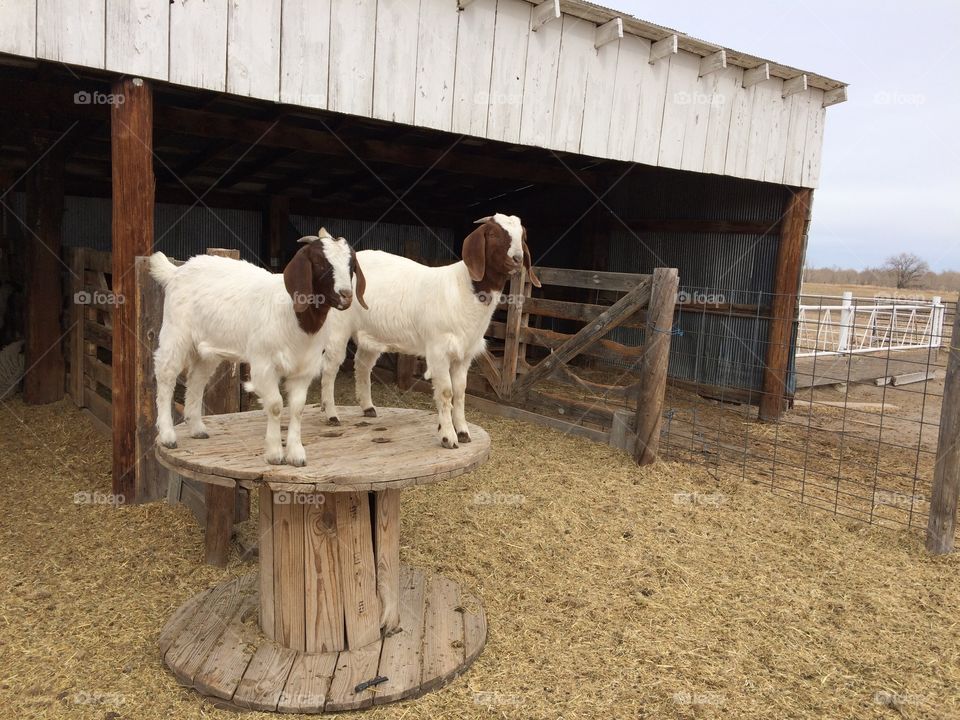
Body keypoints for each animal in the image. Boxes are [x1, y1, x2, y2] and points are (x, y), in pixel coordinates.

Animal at [150, 231, 366, 466]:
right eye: (319, 262)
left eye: (351, 265)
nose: (346, 295)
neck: (294, 316)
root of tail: (176, 271)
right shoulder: (263, 364)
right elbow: (275, 405)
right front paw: (274, 453)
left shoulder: (304, 368)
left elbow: (297, 408)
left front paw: (296, 454)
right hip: (175, 333)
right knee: (166, 375)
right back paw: (168, 435)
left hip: (206, 349)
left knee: (196, 379)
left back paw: (197, 428)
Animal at [318, 214, 539, 448]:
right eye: (493, 234)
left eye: (522, 236)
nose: (517, 259)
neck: (463, 289)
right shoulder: (438, 350)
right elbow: (445, 392)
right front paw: (448, 437)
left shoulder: (464, 355)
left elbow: (460, 392)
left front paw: (463, 431)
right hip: (338, 329)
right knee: (330, 368)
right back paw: (331, 414)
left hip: (371, 334)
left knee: (362, 365)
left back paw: (367, 407)